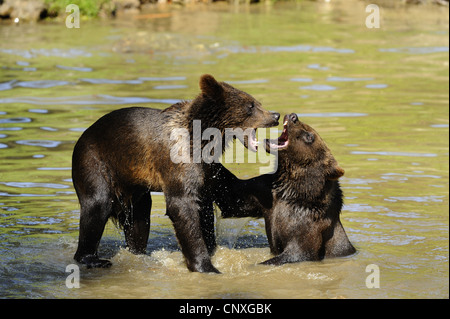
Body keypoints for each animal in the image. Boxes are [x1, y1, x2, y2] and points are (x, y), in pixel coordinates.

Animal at [72, 74, 280, 272]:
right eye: (251, 105)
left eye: (256, 102)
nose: (276, 115)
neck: (204, 140)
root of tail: (84, 134)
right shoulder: (180, 162)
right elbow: (181, 206)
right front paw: (206, 266)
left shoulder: (209, 171)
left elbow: (225, 199)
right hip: (95, 161)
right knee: (97, 205)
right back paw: (92, 258)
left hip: (135, 187)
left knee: (139, 220)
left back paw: (139, 253)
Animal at [212, 113, 356, 264]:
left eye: (309, 136)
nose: (293, 116)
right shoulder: (266, 193)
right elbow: (233, 197)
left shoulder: (307, 223)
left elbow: (298, 252)